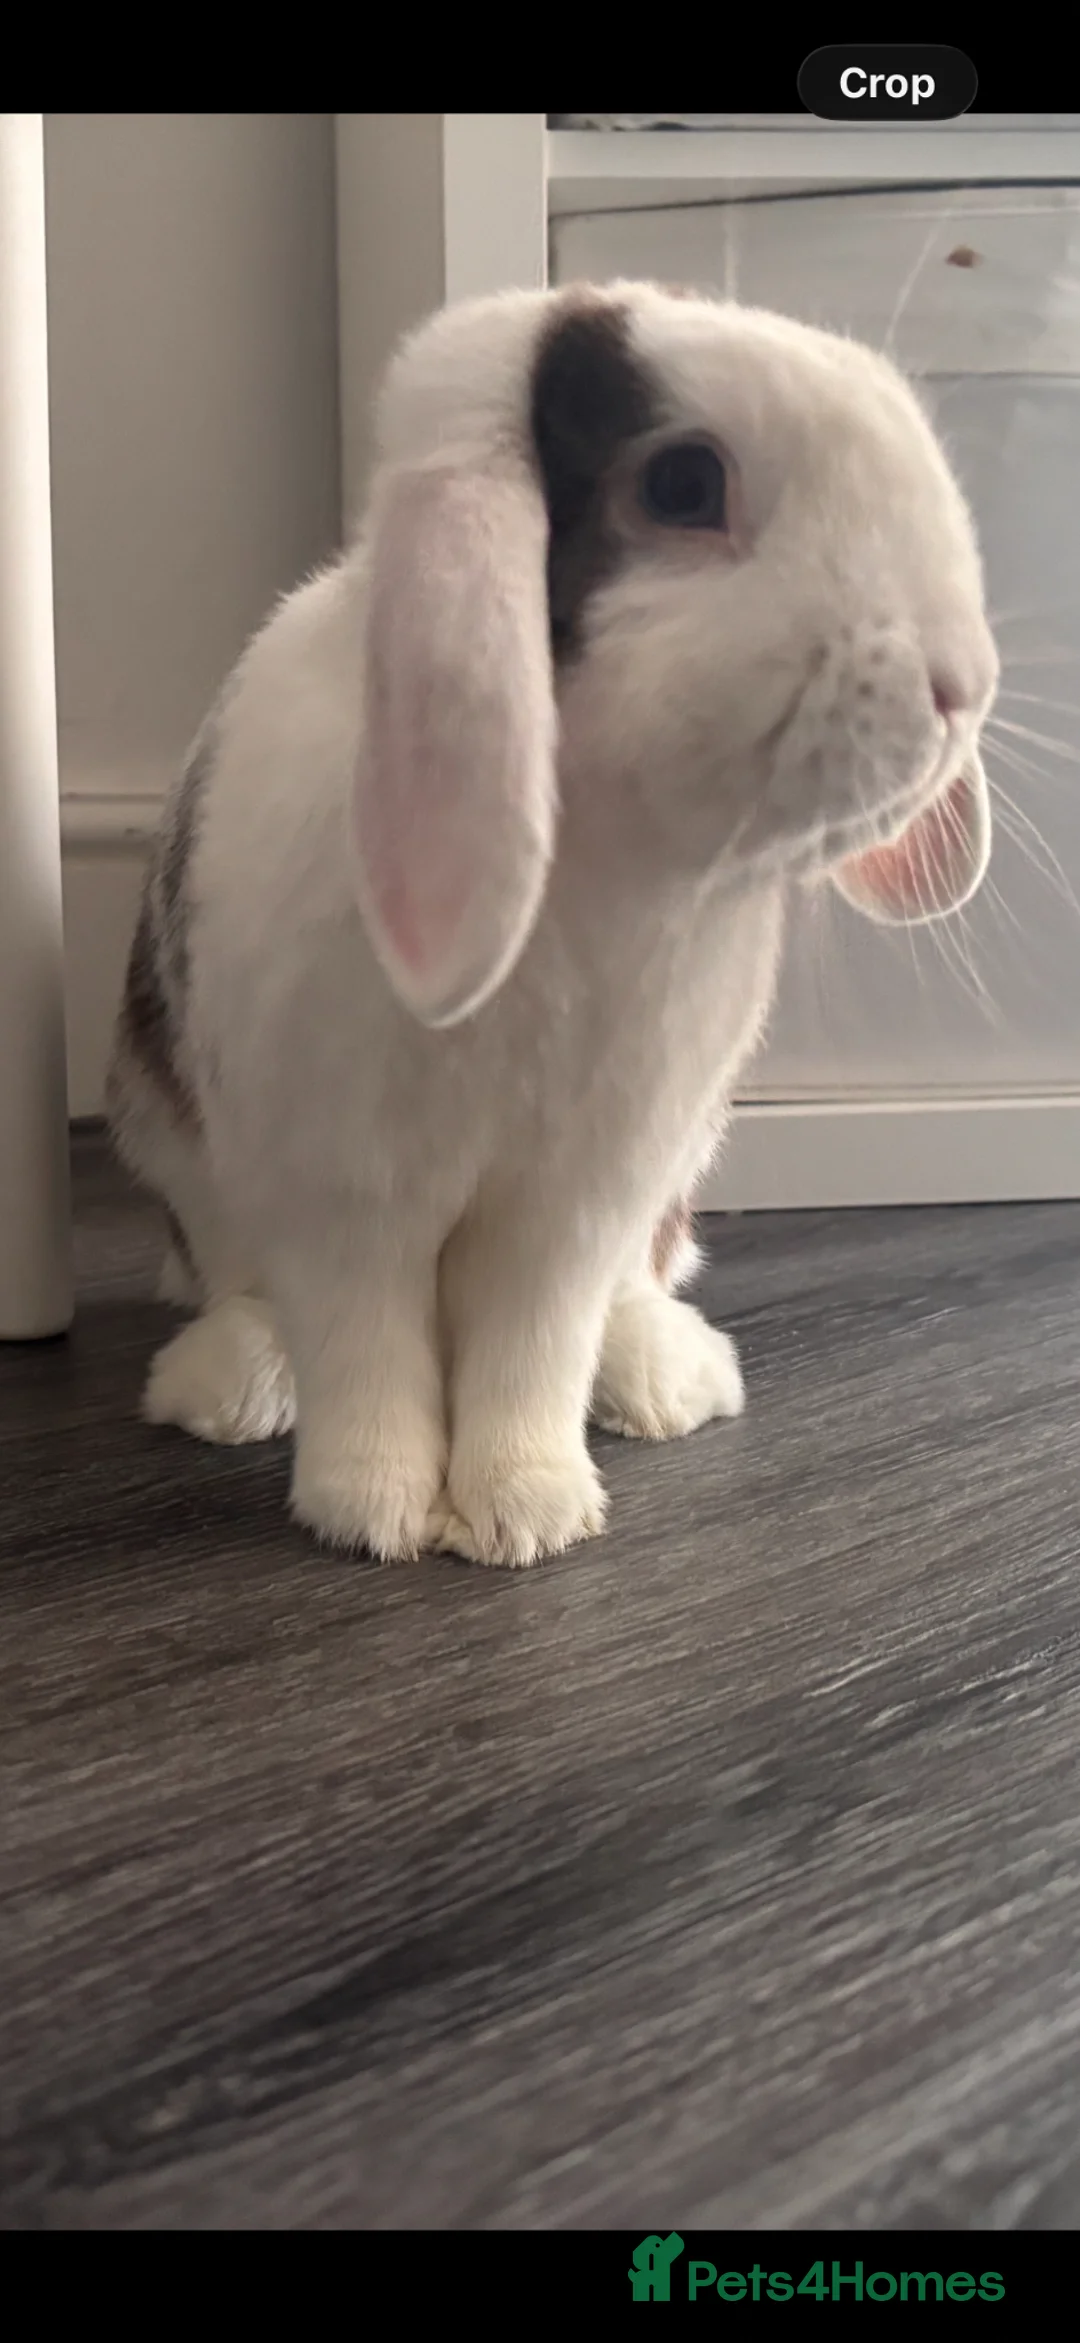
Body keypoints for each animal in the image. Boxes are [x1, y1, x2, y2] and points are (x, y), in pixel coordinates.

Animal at [106, 280, 997, 1568]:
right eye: (682, 483)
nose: (962, 686)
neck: (588, 871)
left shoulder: (580, 1197)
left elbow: (534, 1344)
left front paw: (527, 1516)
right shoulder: (336, 1187)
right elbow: (364, 1347)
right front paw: (371, 1515)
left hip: (669, 1178)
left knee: (635, 1289)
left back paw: (667, 1379)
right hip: (177, 1149)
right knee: (236, 1282)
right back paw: (230, 1386)